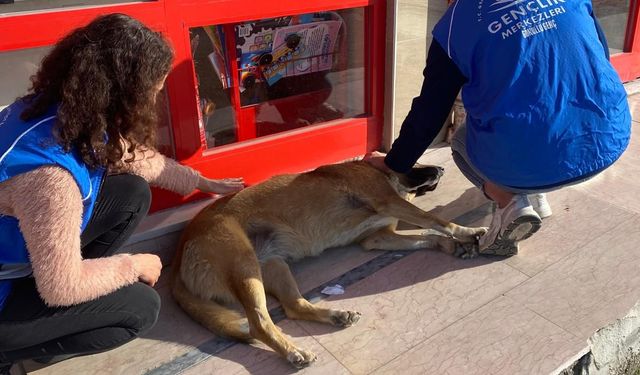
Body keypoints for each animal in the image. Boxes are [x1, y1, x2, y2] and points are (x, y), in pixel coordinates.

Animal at [170, 161, 484, 368]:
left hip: (272, 266)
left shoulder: (377, 238)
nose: (441, 169)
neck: (379, 170)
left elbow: (426, 235)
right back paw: (293, 351)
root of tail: (180, 247)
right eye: (417, 161)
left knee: (294, 306)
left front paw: (451, 244)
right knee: (259, 323)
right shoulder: (389, 203)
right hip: (244, 266)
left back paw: (336, 316)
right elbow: (435, 220)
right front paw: (467, 231)